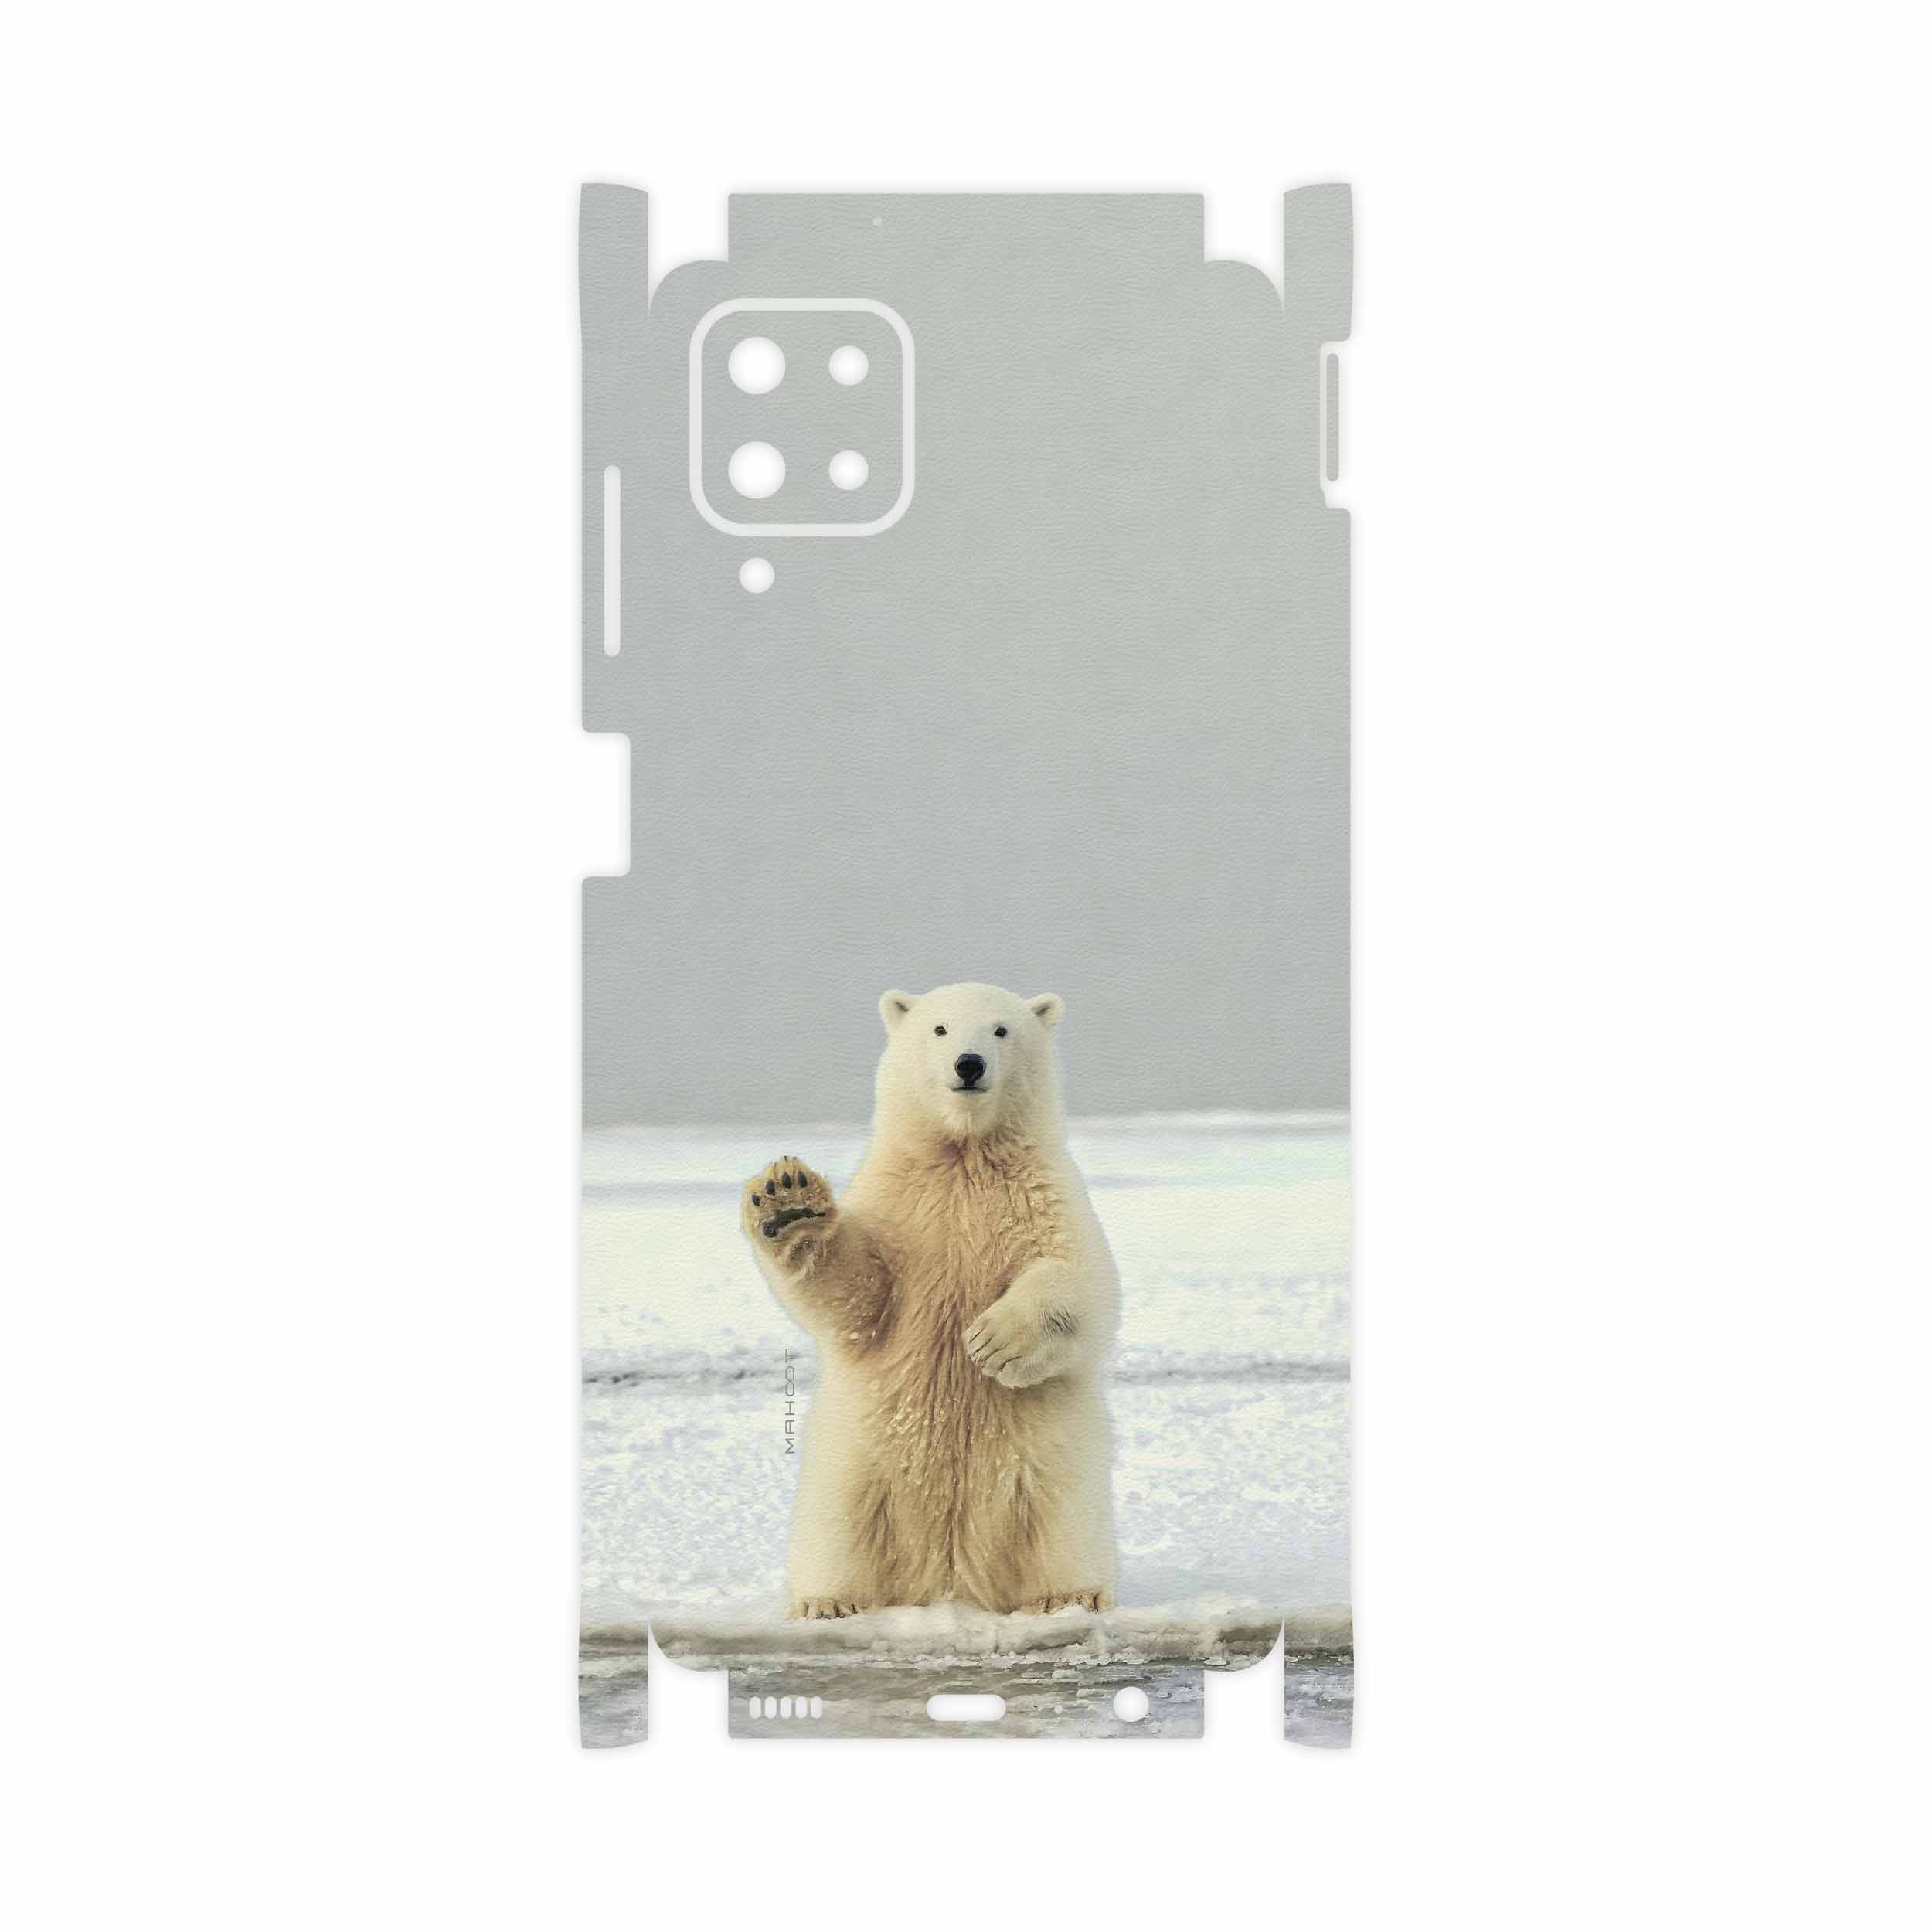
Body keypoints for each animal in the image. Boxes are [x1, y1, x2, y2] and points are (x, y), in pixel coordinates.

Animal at [740, 982, 1119, 1619]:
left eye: (1001, 1030)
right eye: (940, 1028)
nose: (969, 1065)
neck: (963, 1155)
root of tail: (949, 1581)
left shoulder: (1044, 1196)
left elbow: (1082, 1282)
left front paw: (993, 1342)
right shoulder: (901, 1205)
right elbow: (859, 1295)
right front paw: (788, 1202)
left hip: (1052, 1473)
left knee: (1061, 1526)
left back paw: (1068, 1595)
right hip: (855, 1467)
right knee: (837, 1530)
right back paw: (828, 1602)